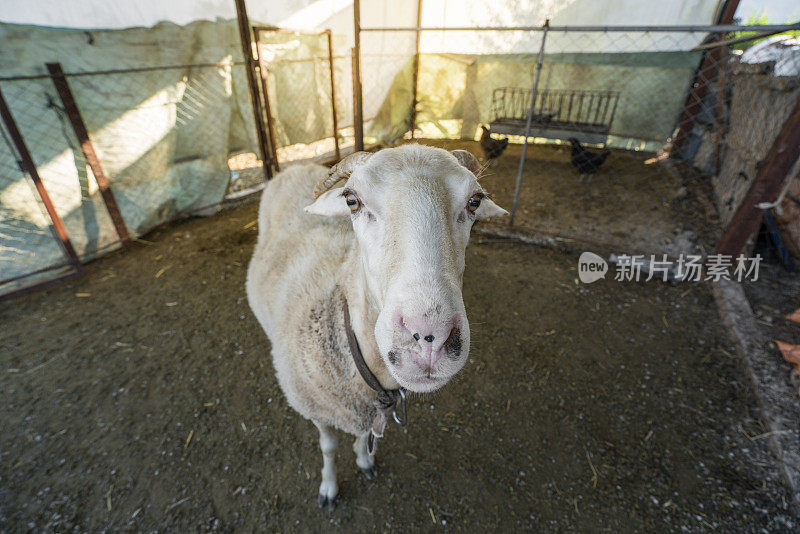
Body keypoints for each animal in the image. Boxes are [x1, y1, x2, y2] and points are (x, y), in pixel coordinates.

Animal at [245, 144, 506, 508]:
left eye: (475, 202)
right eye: (352, 200)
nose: (430, 338)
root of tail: (296, 166)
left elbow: (366, 437)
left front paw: (365, 460)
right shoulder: (315, 409)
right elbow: (328, 447)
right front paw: (329, 487)